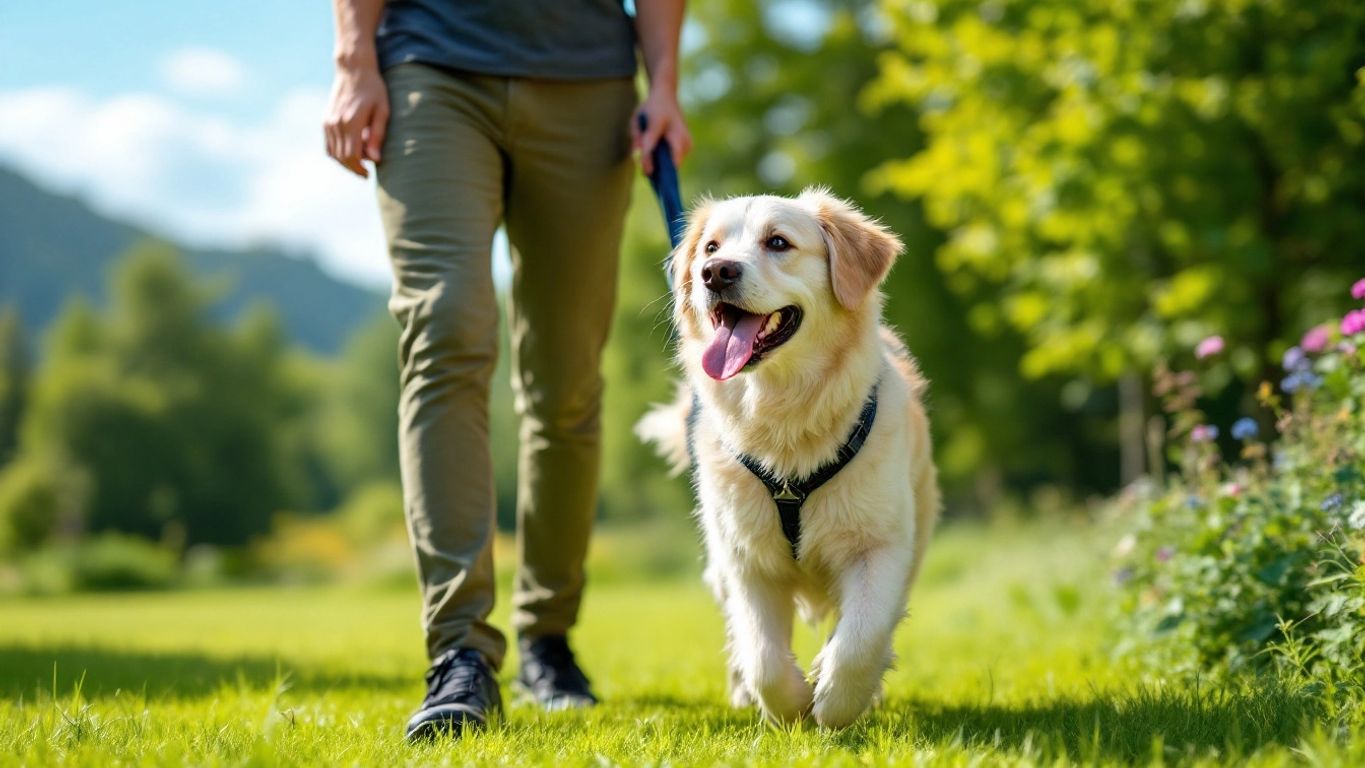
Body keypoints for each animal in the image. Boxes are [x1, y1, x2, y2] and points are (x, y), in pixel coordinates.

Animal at [636, 189, 939, 731]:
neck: (784, 417)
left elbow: (861, 639)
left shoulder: (880, 545)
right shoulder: (745, 558)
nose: (715, 272)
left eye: (778, 242)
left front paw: (836, 701)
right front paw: (792, 705)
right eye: (711, 247)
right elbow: (762, 656)